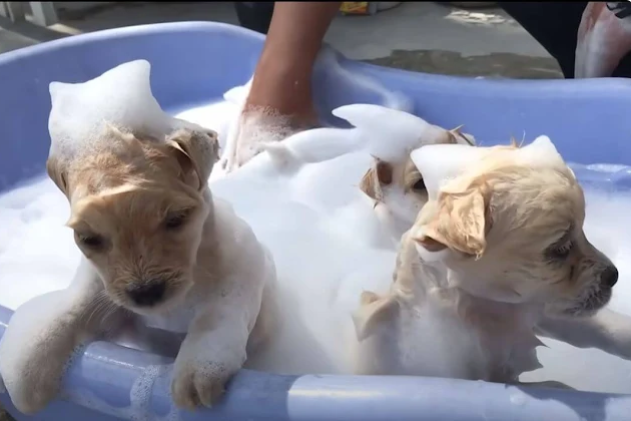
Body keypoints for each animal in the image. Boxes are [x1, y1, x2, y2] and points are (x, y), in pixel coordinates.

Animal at [0, 123, 276, 414]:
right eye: (88, 238)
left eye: (177, 218)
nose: (146, 293)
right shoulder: (103, 295)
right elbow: (68, 314)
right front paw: (26, 370)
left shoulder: (239, 270)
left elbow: (217, 315)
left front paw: (199, 368)